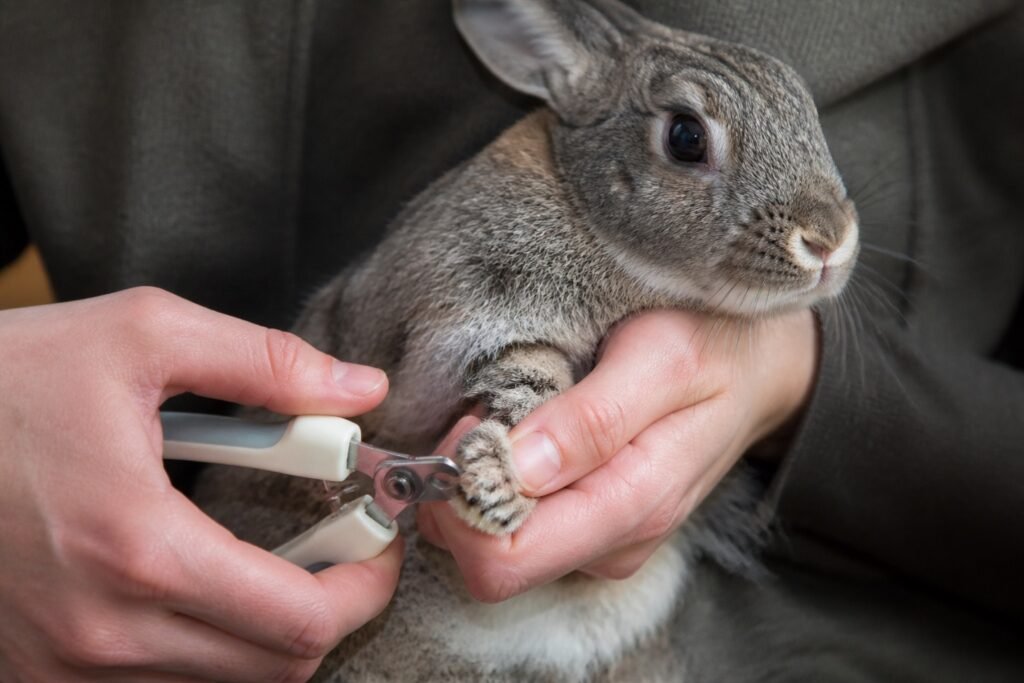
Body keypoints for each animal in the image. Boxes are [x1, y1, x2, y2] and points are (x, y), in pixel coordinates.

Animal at [193, 0, 859, 680]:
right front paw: (496, 489)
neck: (586, 210)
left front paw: (494, 485)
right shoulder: (452, 319)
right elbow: (527, 379)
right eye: (686, 137)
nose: (830, 241)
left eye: (805, 109)